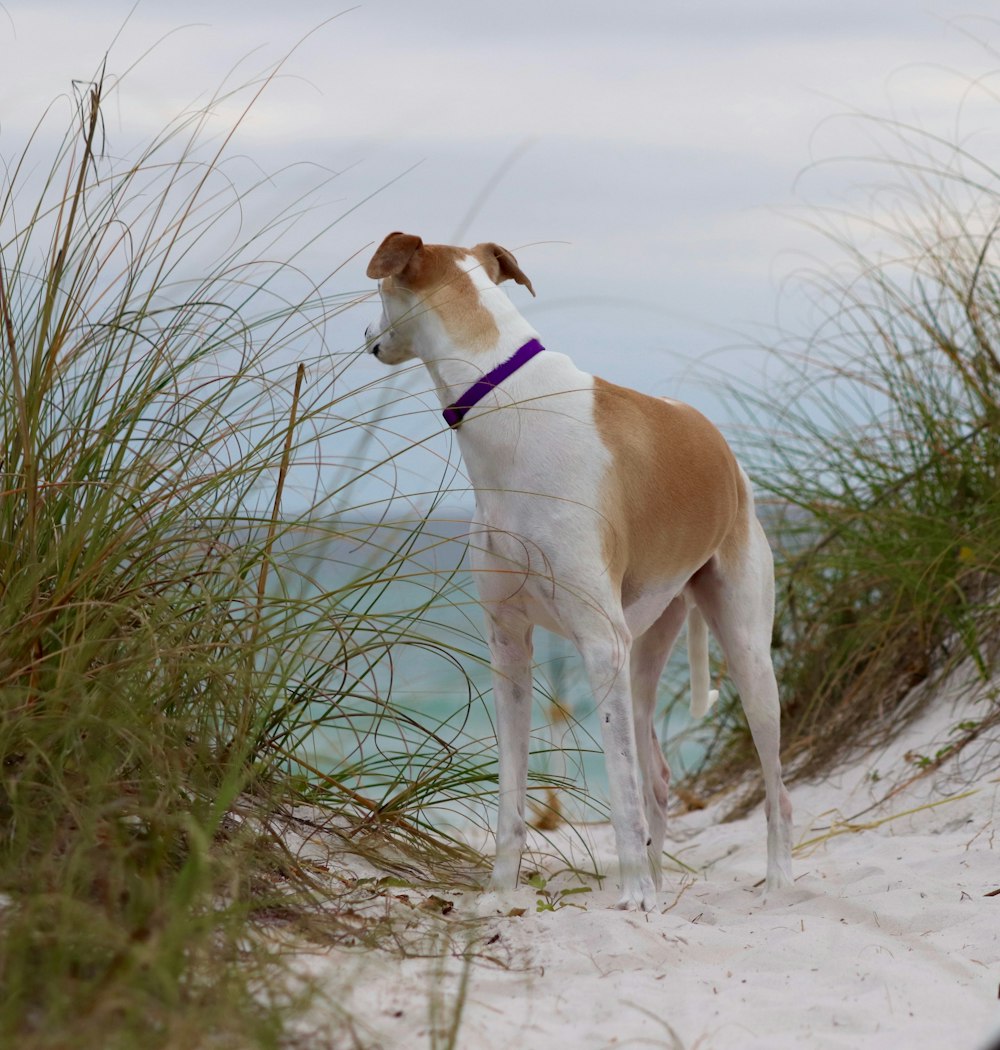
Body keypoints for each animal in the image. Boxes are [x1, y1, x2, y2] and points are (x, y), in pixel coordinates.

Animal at [363, 232, 794, 911]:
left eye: (379, 289)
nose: (365, 335)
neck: (508, 400)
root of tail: (716, 442)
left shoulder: (598, 643)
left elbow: (620, 793)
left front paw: (634, 897)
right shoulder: (508, 645)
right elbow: (512, 792)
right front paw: (501, 891)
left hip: (744, 651)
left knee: (773, 786)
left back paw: (771, 882)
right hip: (643, 649)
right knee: (658, 777)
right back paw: (660, 882)